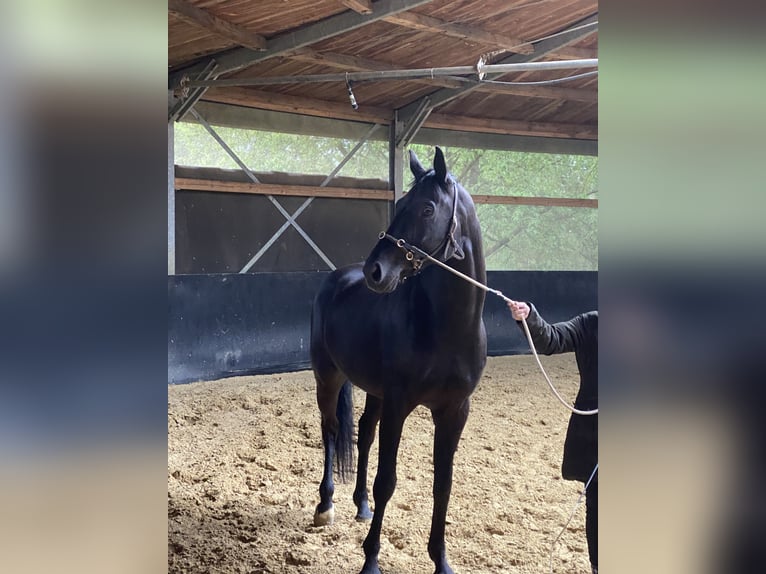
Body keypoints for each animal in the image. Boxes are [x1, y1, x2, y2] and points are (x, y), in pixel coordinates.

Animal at [310, 148, 486, 574]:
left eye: (427, 208)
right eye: (400, 203)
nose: (375, 271)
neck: (446, 328)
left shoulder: (455, 410)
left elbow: (443, 484)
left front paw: (441, 560)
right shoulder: (399, 405)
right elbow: (386, 482)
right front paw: (371, 559)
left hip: (374, 391)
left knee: (363, 431)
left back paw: (359, 505)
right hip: (328, 377)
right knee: (331, 431)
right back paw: (325, 505)